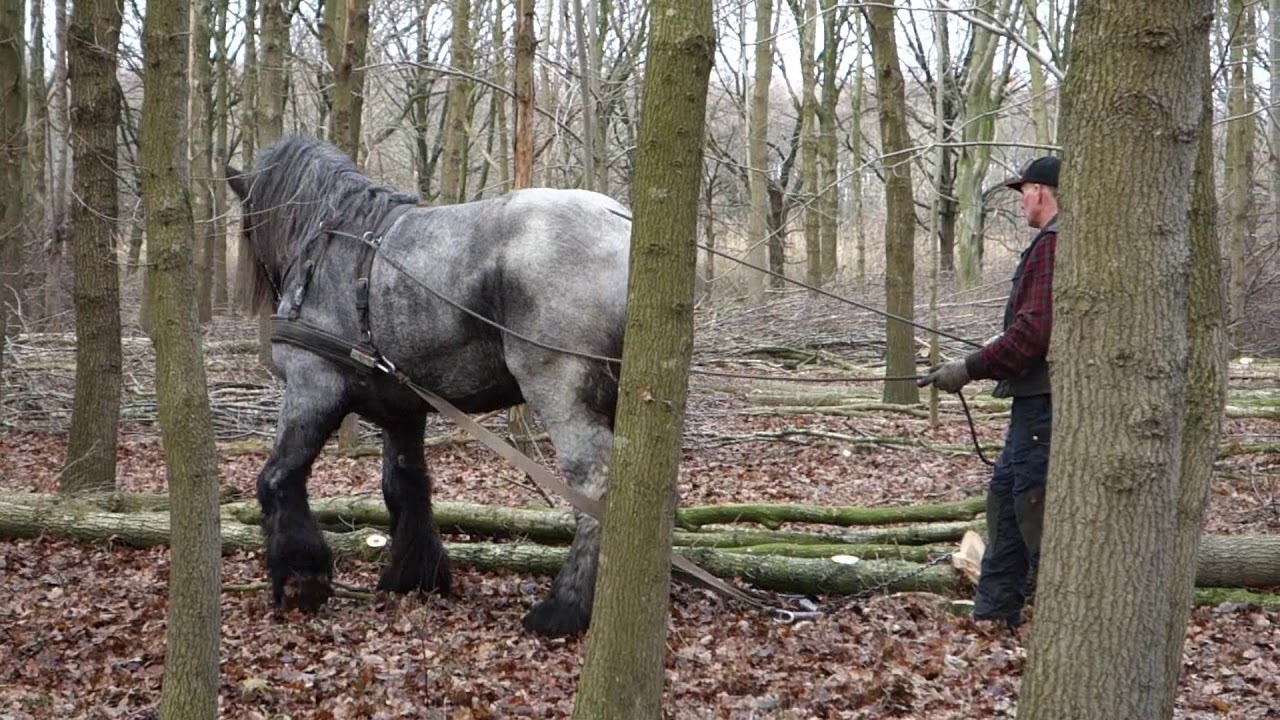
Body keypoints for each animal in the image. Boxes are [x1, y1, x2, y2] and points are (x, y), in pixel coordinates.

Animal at [226, 135, 630, 637]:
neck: (326, 247)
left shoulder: (311, 389)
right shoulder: (402, 408)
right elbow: (404, 483)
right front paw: (414, 576)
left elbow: (278, 477)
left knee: (593, 484)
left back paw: (563, 609)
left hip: (560, 387)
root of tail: (623, 225)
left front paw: (304, 579)